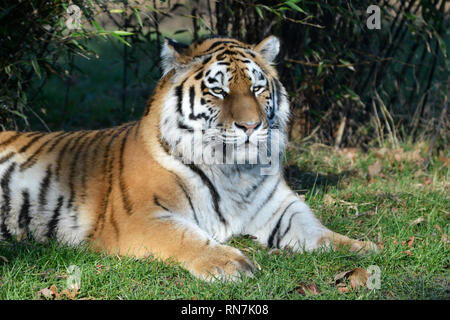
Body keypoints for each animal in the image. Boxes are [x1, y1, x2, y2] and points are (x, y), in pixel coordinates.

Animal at [0, 35, 380, 280]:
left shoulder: (282, 210)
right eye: (219, 90)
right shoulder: (140, 218)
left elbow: (320, 232)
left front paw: (366, 248)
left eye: (257, 88)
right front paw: (231, 264)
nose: (250, 126)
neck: (235, 170)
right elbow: (185, 236)